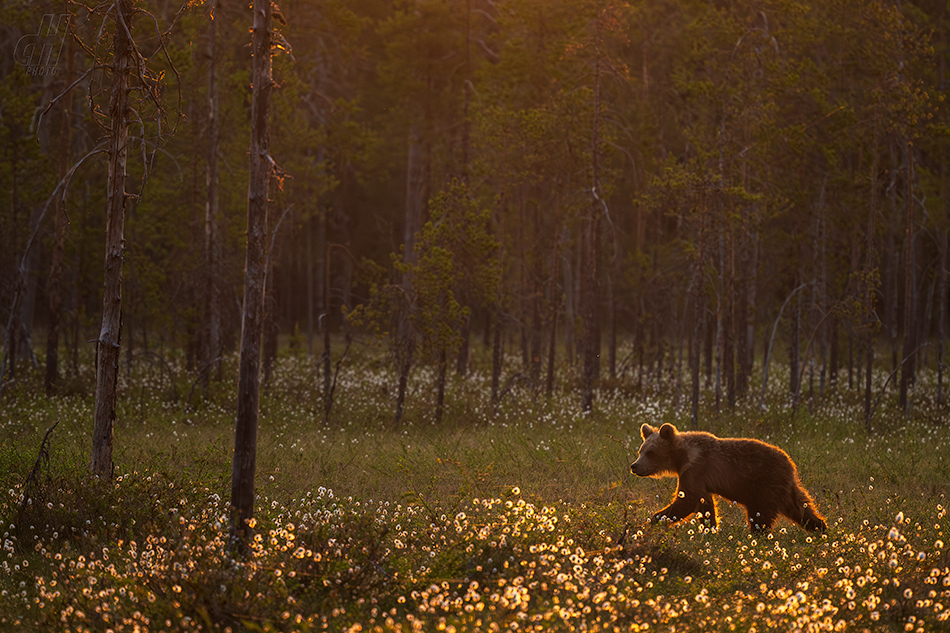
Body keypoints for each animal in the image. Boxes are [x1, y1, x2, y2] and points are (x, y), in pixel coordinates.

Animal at [632, 422, 824, 532]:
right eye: (640, 451)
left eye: (650, 452)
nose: (634, 466)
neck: (682, 457)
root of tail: (790, 463)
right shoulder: (699, 478)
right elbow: (704, 503)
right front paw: (710, 528)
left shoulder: (695, 469)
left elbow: (686, 499)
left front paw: (653, 520)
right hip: (784, 487)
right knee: (801, 507)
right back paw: (820, 528)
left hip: (765, 484)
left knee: (760, 514)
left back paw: (757, 534)